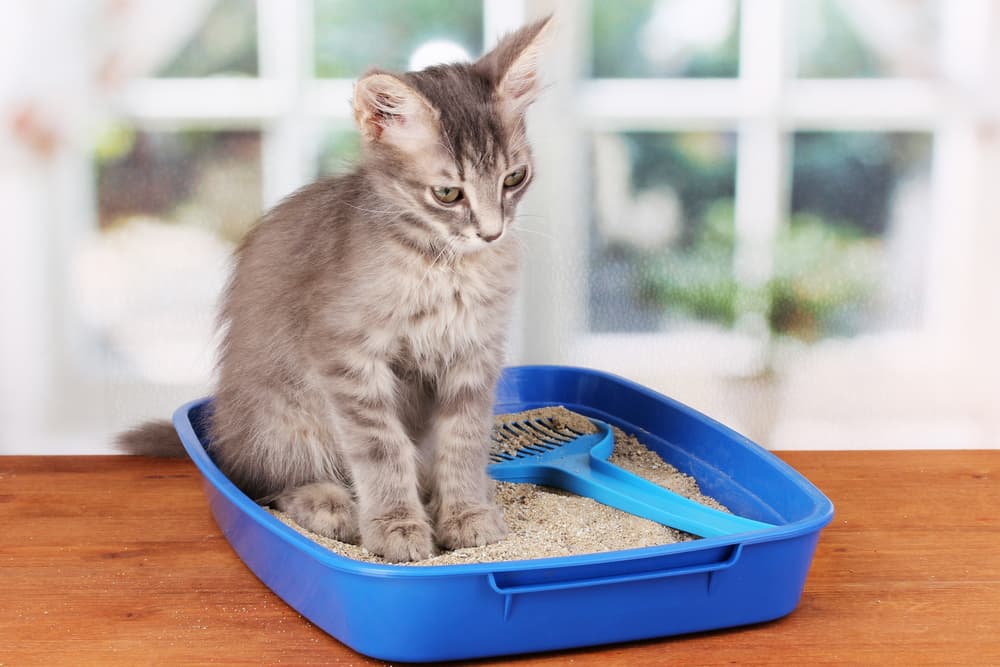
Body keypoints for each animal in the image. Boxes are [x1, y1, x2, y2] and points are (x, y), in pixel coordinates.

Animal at [122, 19, 556, 564]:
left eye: (514, 178)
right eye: (448, 194)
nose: (493, 233)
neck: (441, 267)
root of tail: (223, 433)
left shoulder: (474, 353)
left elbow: (463, 439)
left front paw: (466, 514)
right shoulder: (345, 356)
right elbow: (382, 448)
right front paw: (397, 527)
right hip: (285, 417)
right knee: (273, 483)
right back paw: (331, 506)